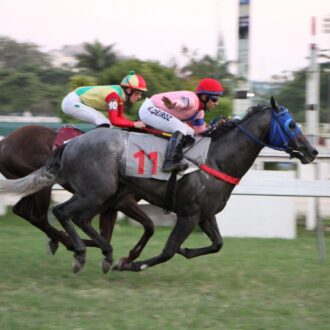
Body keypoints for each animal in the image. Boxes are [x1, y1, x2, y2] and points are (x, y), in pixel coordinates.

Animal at [0, 125, 155, 272]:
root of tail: (5, 141)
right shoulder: (124, 202)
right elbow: (148, 225)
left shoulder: (111, 207)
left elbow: (106, 236)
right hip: (43, 184)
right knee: (38, 217)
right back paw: (66, 242)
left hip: (29, 185)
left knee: (21, 210)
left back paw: (60, 240)